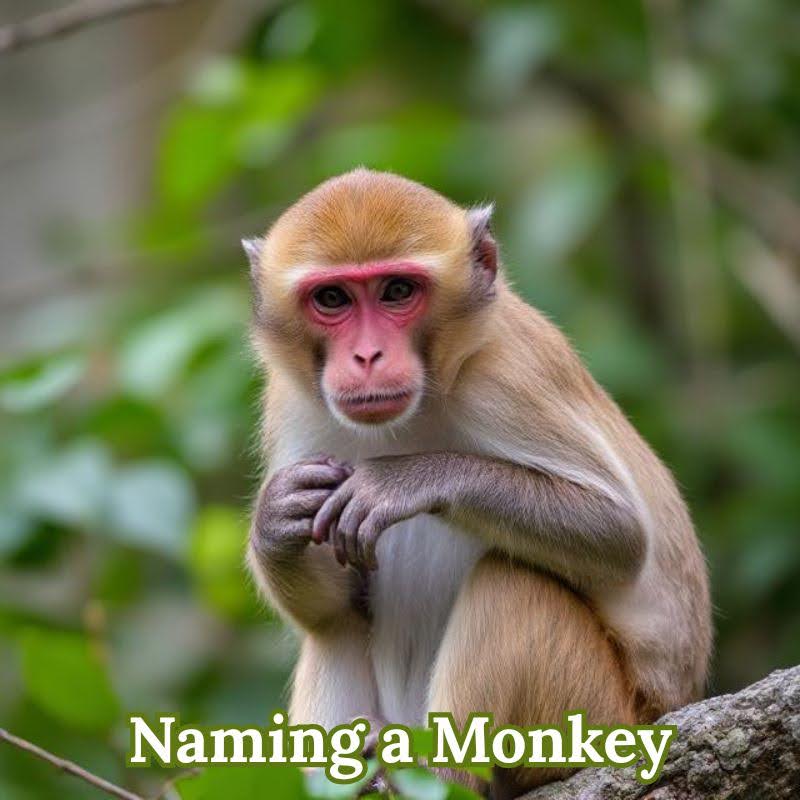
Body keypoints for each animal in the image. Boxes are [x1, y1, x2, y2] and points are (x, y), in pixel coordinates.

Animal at [243, 169, 711, 798]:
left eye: (397, 290)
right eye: (333, 298)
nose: (367, 356)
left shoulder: (504, 377)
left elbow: (620, 536)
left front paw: (405, 481)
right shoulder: (292, 402)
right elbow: (332, 602)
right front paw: (277, 519)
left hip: (598, 714)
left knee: (511, 582)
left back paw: (437, 778)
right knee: (333, 629)